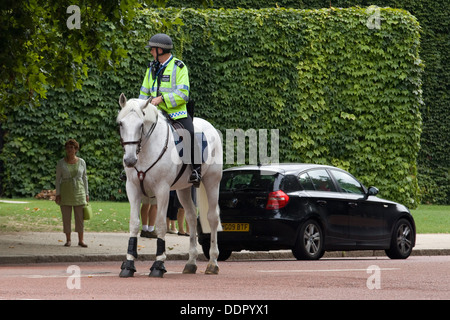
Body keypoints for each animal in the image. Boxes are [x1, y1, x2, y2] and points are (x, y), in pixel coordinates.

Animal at [116, 93, 221, 278]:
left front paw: (158, 264)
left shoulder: (162, 190)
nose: (129, 160)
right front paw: (128, 264)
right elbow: (134, 223)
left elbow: (160, 224)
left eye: (141, 125)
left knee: (212, 217)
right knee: (191, 217)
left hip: (212, 182)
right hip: (183, 190)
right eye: (121, 124)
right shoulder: (133, 189)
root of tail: (211, 127)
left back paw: (213, 263)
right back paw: (191, 263)